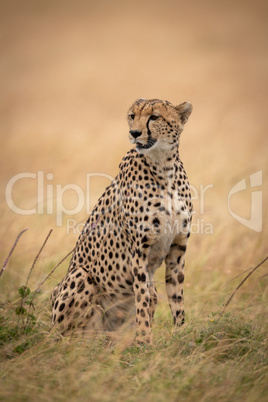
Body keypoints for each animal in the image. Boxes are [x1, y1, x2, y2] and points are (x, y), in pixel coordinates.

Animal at [50, 97, 193, 342]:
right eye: (132, 116)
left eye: (154, 117)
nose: (134, 132)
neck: (164, 168)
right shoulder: (139, 250)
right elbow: (142, 298)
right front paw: (144, 340)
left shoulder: (177, 248)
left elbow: (177, 298)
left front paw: (182, 337)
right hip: (80, 277)